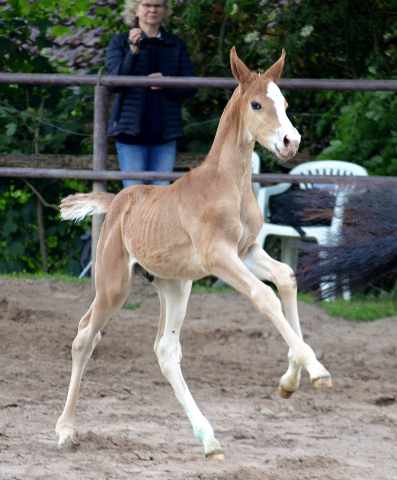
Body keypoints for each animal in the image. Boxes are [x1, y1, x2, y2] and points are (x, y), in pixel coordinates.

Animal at [56, 47, 332, 460]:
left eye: (284, 103)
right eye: (256, 104)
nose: (290, 142)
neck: (227, 184)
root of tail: (116, 200)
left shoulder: (247, 250)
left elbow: (285, 276)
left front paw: (290, 380)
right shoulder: (218, 256)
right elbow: (264, 296)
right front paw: (317, 370)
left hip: (175, 285)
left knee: (166, 350)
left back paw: (209, 439)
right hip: (113, 285)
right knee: (85, 336)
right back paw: (65, 430)